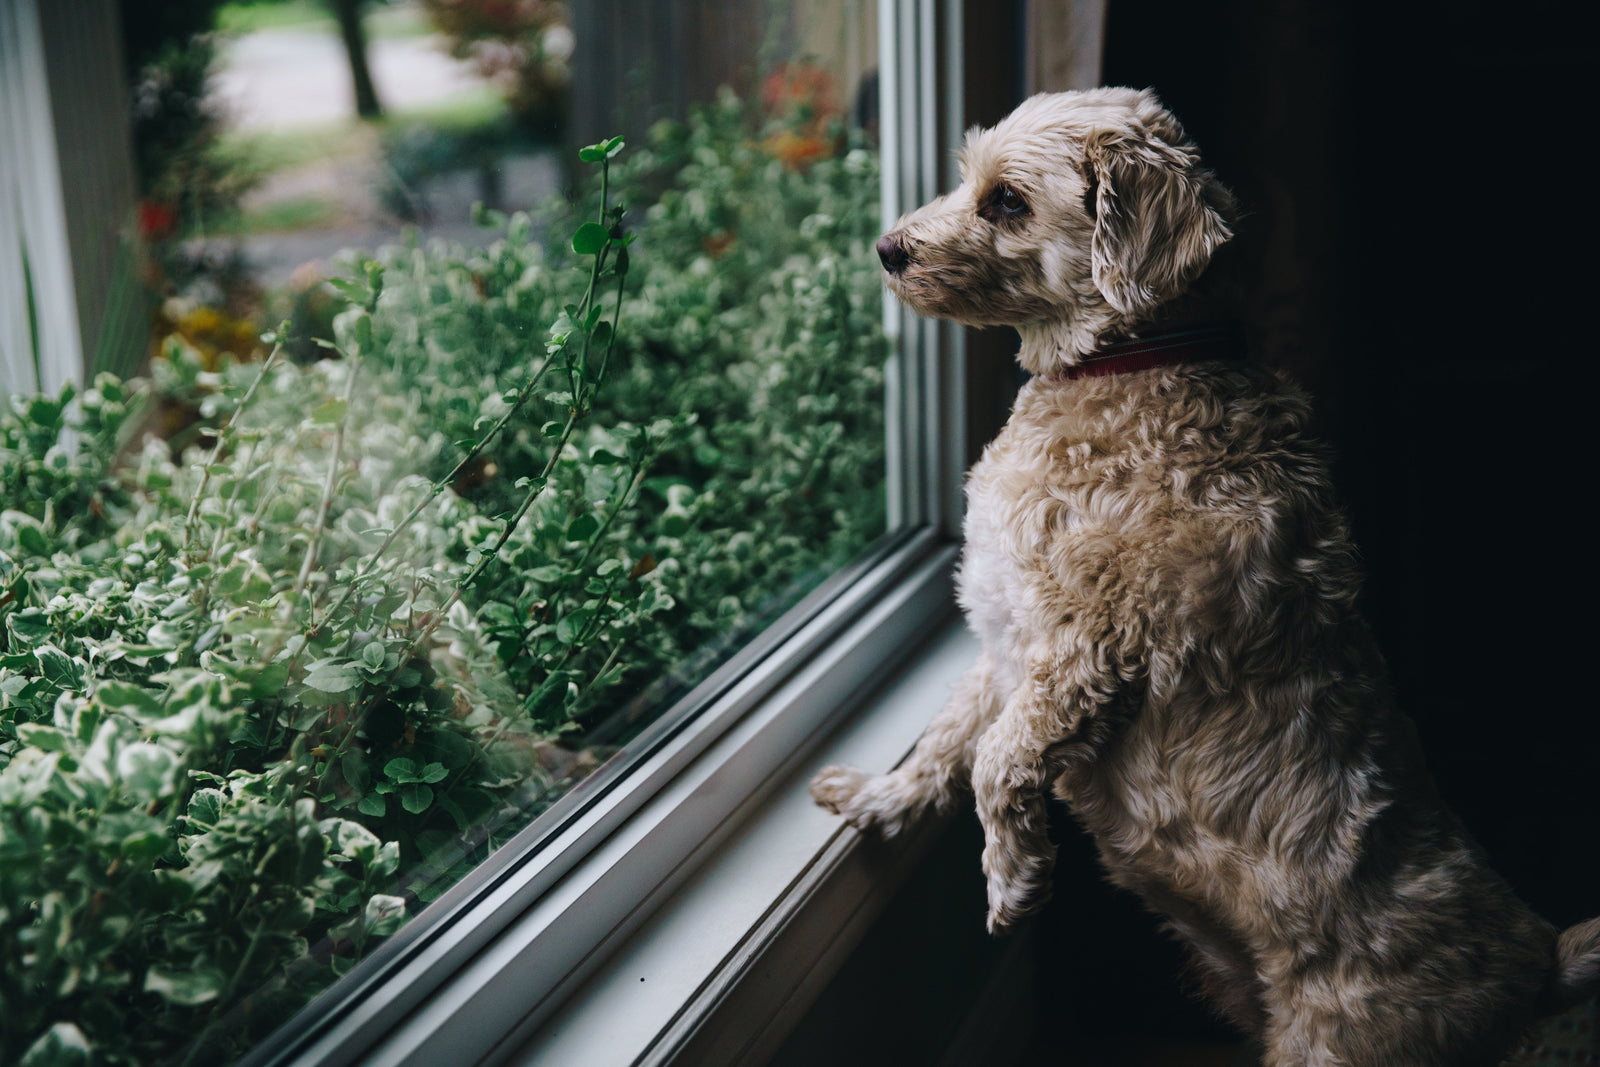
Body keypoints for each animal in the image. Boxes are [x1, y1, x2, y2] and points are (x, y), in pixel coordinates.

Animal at [812, 89, 1600, 1067]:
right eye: (968, 179)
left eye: (1007, 202)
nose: (889, 248)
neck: (1133, 365)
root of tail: (1534, 962)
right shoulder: (1005, 640)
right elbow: (943, 744)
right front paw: (876, 798)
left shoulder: (1091, 647)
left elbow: (996, 759)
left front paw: (1013, 877)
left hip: (1339, 1042)